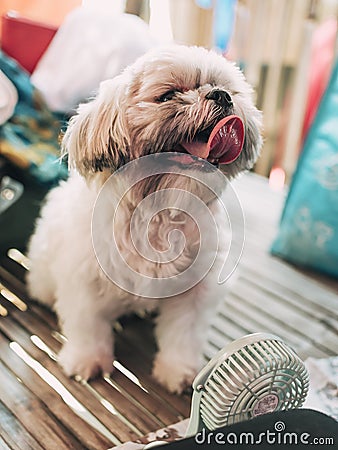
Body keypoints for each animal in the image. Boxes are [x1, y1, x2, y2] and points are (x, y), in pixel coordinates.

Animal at [27, 44, 262, 392]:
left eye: (227, 90)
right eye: (168, 95)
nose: (220, 96)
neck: (161, 211)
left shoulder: (195, 292)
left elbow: (182, 335)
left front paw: (178, 371)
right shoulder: (83, 280)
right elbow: (87, 325)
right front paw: (87, 359)